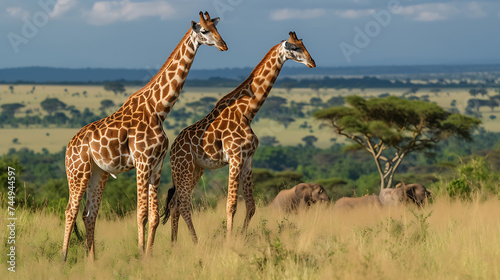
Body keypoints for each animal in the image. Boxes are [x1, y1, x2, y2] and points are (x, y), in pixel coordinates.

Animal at [61, 12, 229, 262]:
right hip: (78, 171)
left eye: (217, 28)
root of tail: (69, 147)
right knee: (70, 210)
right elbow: (141, 213)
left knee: (89, 213)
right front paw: (140, 254)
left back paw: (92, 261)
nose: (223, 45)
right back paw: (63, 259)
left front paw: (148, 255)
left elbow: (155, 215)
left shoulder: (156, 165)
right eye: (204, 31)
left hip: (98, 172)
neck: (159, 109)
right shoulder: (142, 161)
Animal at [162, 31, 314, 243]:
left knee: (175, 202)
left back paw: (174, 243)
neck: (247, 112)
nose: (312, 62)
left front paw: (242, 237)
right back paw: (195, 242)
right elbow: (231, 205)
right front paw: (229, 241)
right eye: (295, 47)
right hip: (183, 169)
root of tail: (173, 150)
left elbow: (251, 206)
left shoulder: (248, 158)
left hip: (196, 169)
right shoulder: (235, 156)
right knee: (183, 204)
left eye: (303, 44)